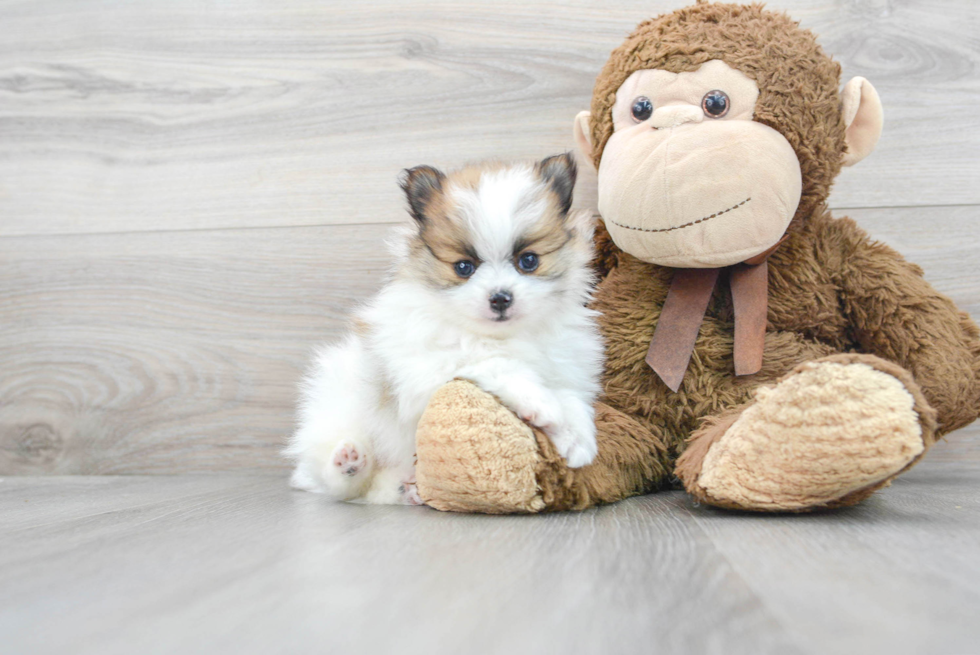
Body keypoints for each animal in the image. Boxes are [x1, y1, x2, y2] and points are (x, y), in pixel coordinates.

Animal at [284, 154, 600, 508]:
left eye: (529, 261)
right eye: (464, 267)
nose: (500, 298)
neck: (500, 335)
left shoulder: (565, 367)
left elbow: (571, 398)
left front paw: (578, 440)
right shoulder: (429, 369)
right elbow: (497, 364)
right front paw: (541, 404)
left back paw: (407, 489)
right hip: (335, 414)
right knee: (336, 483)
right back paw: (348, 462)